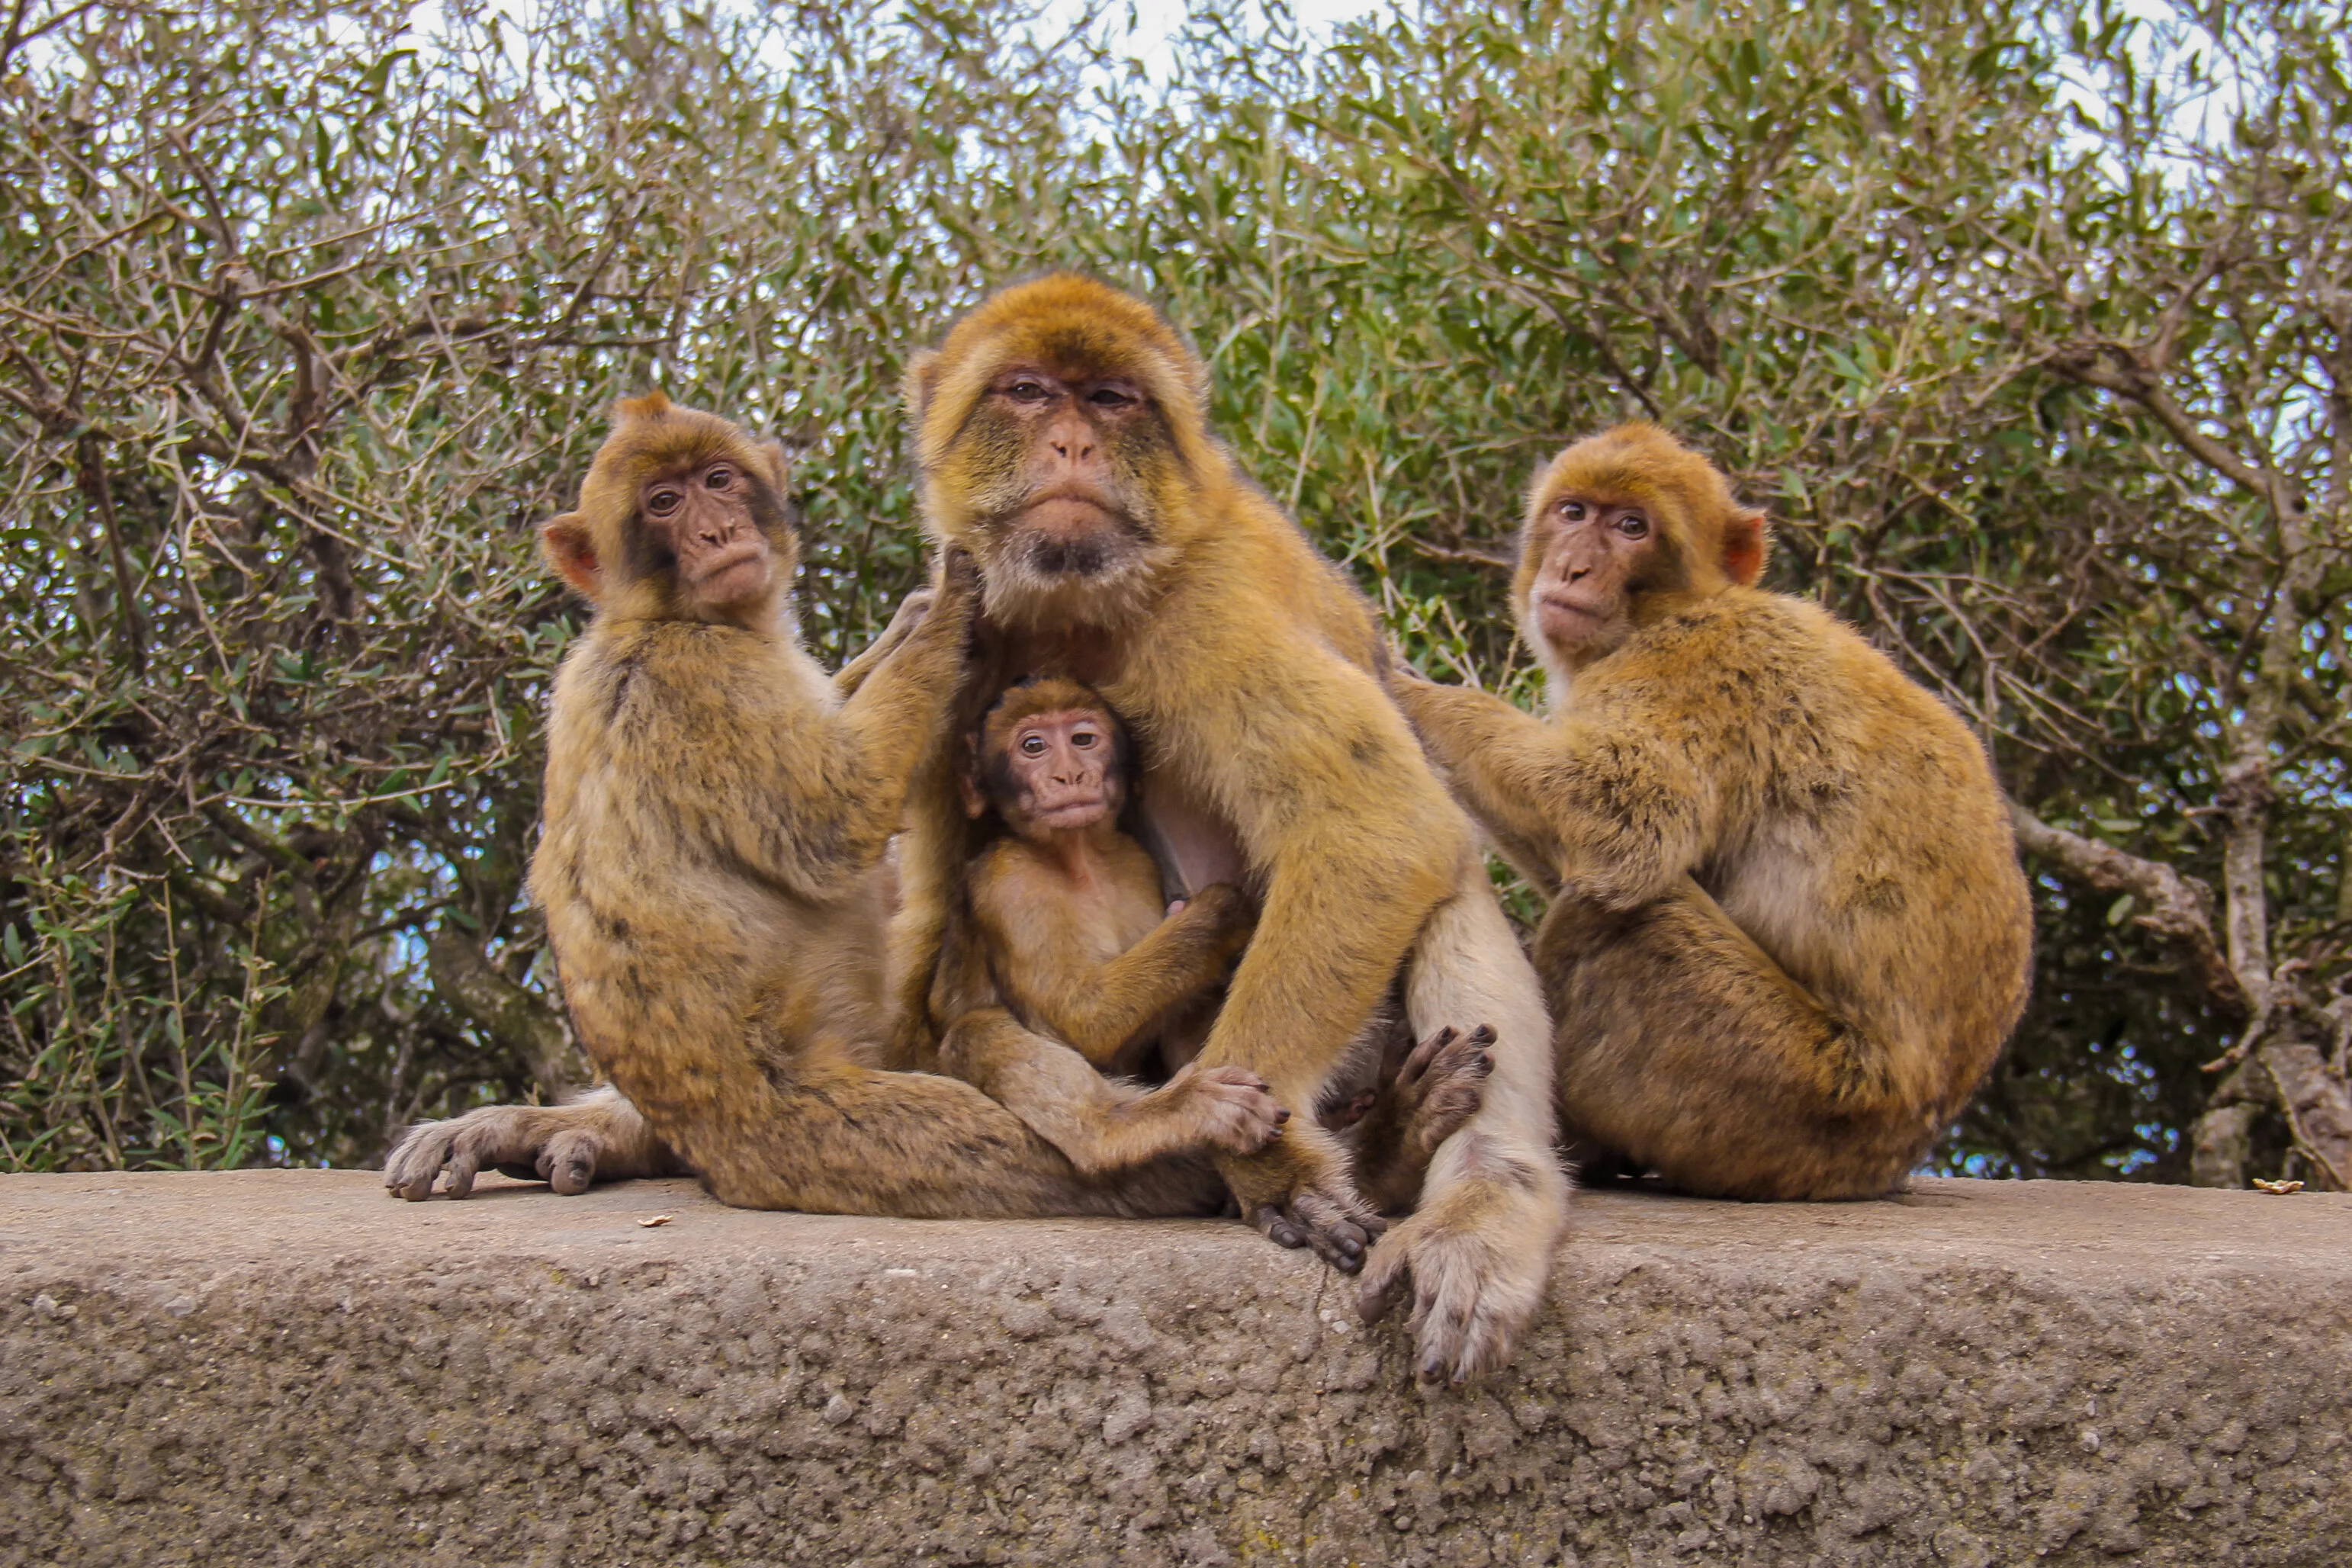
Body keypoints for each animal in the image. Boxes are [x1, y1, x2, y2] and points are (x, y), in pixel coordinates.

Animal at [383, 392, 1234, 1220]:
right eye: (663, 502)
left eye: (718, 480)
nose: (717, 530)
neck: (668, 617)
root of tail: (711, 1142)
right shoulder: (699, 676)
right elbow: (837, 818)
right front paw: (951, 603)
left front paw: (910, 620)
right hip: (819, 1134)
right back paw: (1148, 1140)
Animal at [948, 674, 1493, 1203]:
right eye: (1033, 746)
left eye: (1083, 739)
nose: (1069, 776)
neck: (1077, 859)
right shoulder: (1010, 883)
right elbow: (1082, 1021)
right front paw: (1228, 911)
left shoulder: (1131, 861)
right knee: (974, 1028)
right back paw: (1142, 1121)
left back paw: (1388, 1142)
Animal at [1388, 422, 2034, 1201]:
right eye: (1574, 512)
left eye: (1632, 528)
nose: (1573, 568)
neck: (1670, 611)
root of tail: (1897, 1151)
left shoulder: (1691, 665)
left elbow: (1623, 825)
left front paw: (1404, 687)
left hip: (1788, 1096)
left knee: (1615, 923)